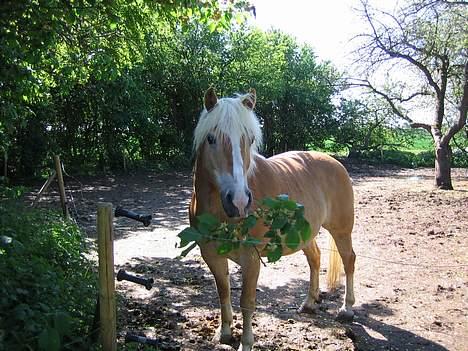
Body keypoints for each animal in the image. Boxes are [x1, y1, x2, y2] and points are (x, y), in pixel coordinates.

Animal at [189, 88, 354, 351]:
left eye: (249, 140)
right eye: (211, 139)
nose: (239, 201)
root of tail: (334, 162)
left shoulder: (251, 260)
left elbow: (246, 301)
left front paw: (245, 343)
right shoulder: (212, 256)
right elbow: (223, 292)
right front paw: (223, 334)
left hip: (341, 231)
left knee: (349, 261)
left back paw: (347, 309)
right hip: (305, 234)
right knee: (315, 259)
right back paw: (309, 303)